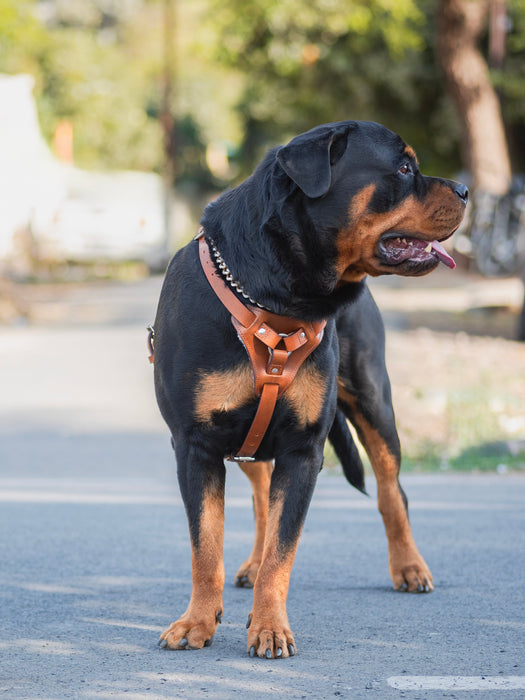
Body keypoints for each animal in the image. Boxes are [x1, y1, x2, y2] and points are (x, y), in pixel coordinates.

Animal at [151, 120, 466, 656]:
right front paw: (197, 621)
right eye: (404, 169)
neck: (277, 297)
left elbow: (284, 548)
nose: (466, 190)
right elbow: (206, 543)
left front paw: (270, 627)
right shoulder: (195, 445)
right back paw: (250, 566)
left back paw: (409, 567)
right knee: (261, 500)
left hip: (374, 401)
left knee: (391, 490)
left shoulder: (303, 449)